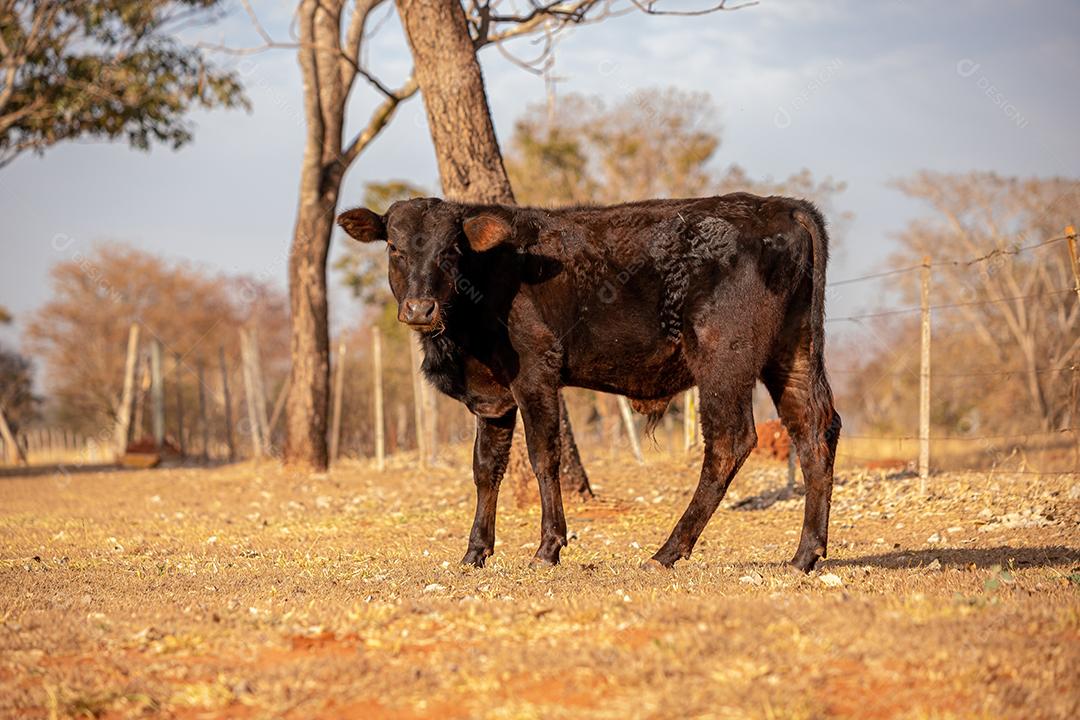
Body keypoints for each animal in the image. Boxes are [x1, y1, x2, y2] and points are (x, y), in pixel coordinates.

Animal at [337, 193, 841, 573]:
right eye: (395, 248)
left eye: (450, 251)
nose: (419, 309)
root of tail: (781, 205)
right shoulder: (494, 398)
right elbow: (485, 469)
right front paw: (475, 551)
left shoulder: (535, 373)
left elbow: (543, 457)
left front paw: (548, 548)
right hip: (792, 353)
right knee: (815, 431)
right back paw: (804, 555)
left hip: (723, 359)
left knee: (729, 442)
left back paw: (667, 552)